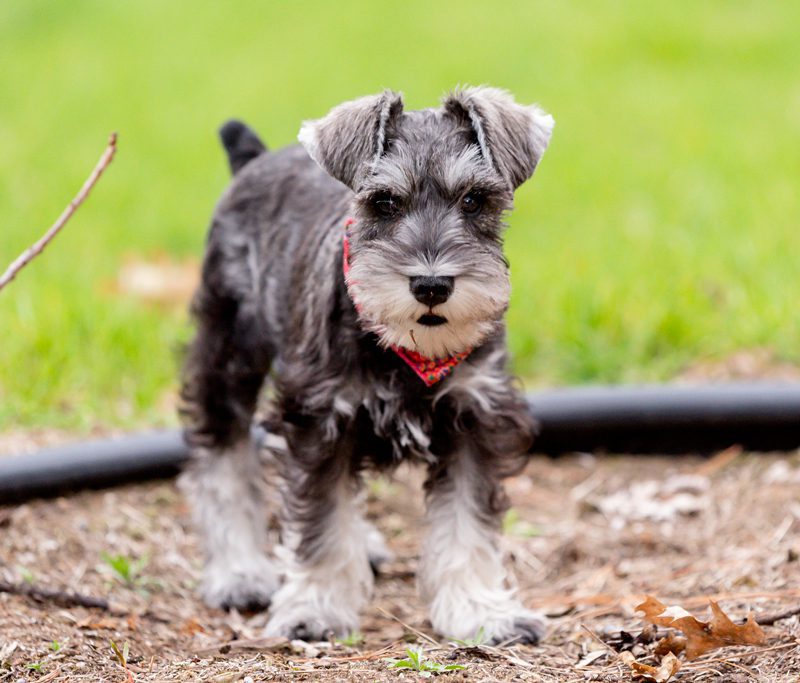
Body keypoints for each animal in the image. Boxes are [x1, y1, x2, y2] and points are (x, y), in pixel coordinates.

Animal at [180, 87, 556, 648]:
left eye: (473, 200)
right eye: (384, 202)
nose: (431, 285)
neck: (403, 347)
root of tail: (255, 159)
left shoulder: (477, 417)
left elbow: (466, 524)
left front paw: (480, 611)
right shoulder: (320, 421)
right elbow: (322, 522)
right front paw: (315, 608)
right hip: (227, 355)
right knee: (222, 456)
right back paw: (239, 571)